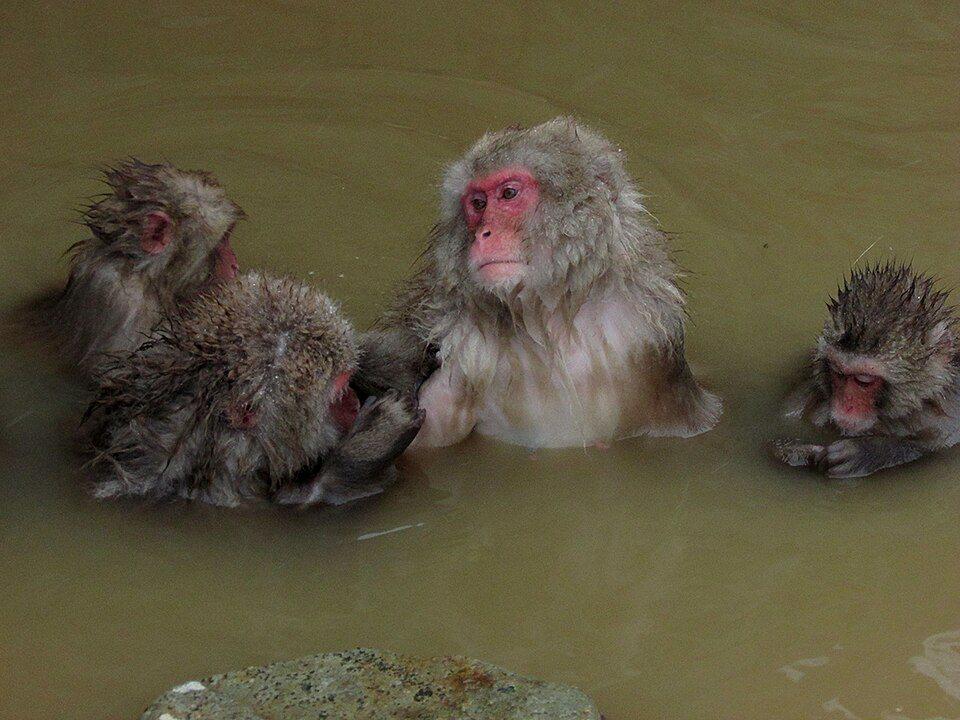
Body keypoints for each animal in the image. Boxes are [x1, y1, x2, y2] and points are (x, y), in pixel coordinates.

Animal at [82, 272, 424, 507]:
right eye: (338, 397)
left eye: (347, 380)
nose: (353, 402)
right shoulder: (223, 486)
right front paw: (373, 439)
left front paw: (386, 360)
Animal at [355, 117, 721, 450]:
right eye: (477, 204)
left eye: (508, 193)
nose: (483, 234)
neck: (548, 321)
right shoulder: (458, 356)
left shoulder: (647, 337)